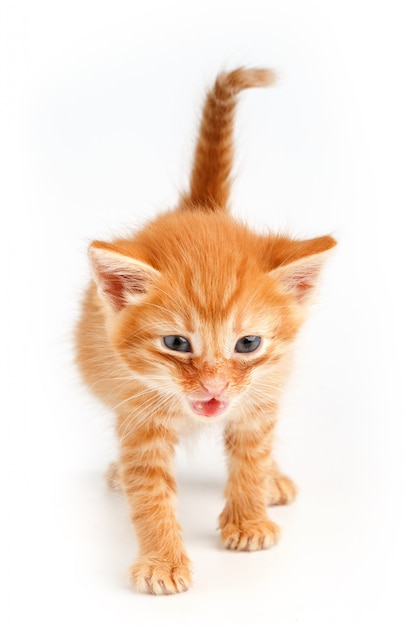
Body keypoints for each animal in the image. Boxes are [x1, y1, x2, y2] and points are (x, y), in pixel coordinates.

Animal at [75, 66, 334, 592]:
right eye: (177, 343)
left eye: (247, 343)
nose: (214, 386)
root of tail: (199, 208)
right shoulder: (138, 414)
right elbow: (149, 489)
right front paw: (162, 561)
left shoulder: (257, 399)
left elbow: (251, 453)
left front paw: (249, 518)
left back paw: (272, 478)